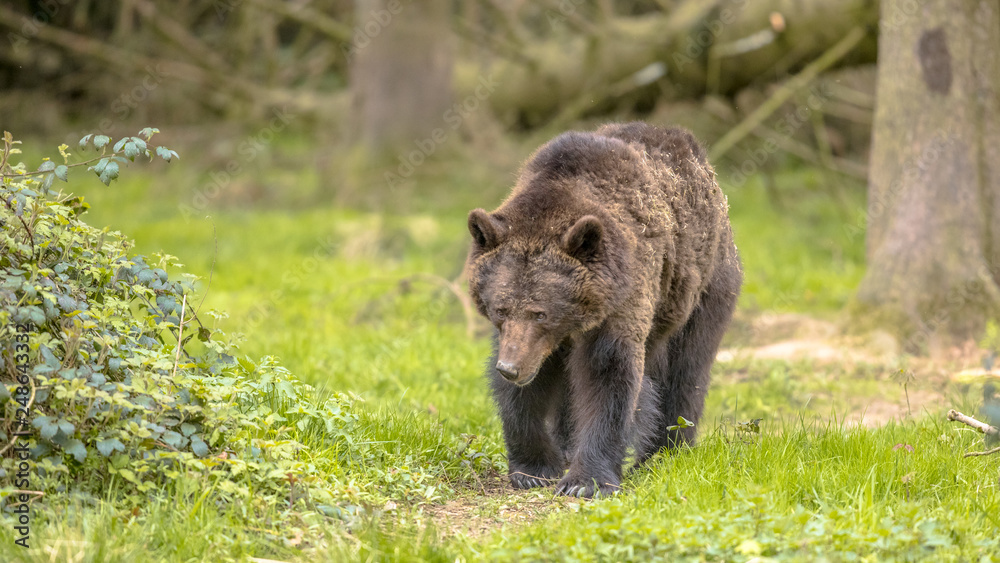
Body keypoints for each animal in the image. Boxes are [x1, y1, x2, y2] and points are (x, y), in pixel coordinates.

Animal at [464, 122, 740, 498]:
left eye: (541, 312)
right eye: (501, 308)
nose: (511, 368)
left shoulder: (622, 300)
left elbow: (607, 375)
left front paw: (585, 481)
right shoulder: (530, 340)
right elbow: (526, 393)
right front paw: (533, 468)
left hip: (701, 287)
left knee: (687, 369)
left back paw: (665, 452)